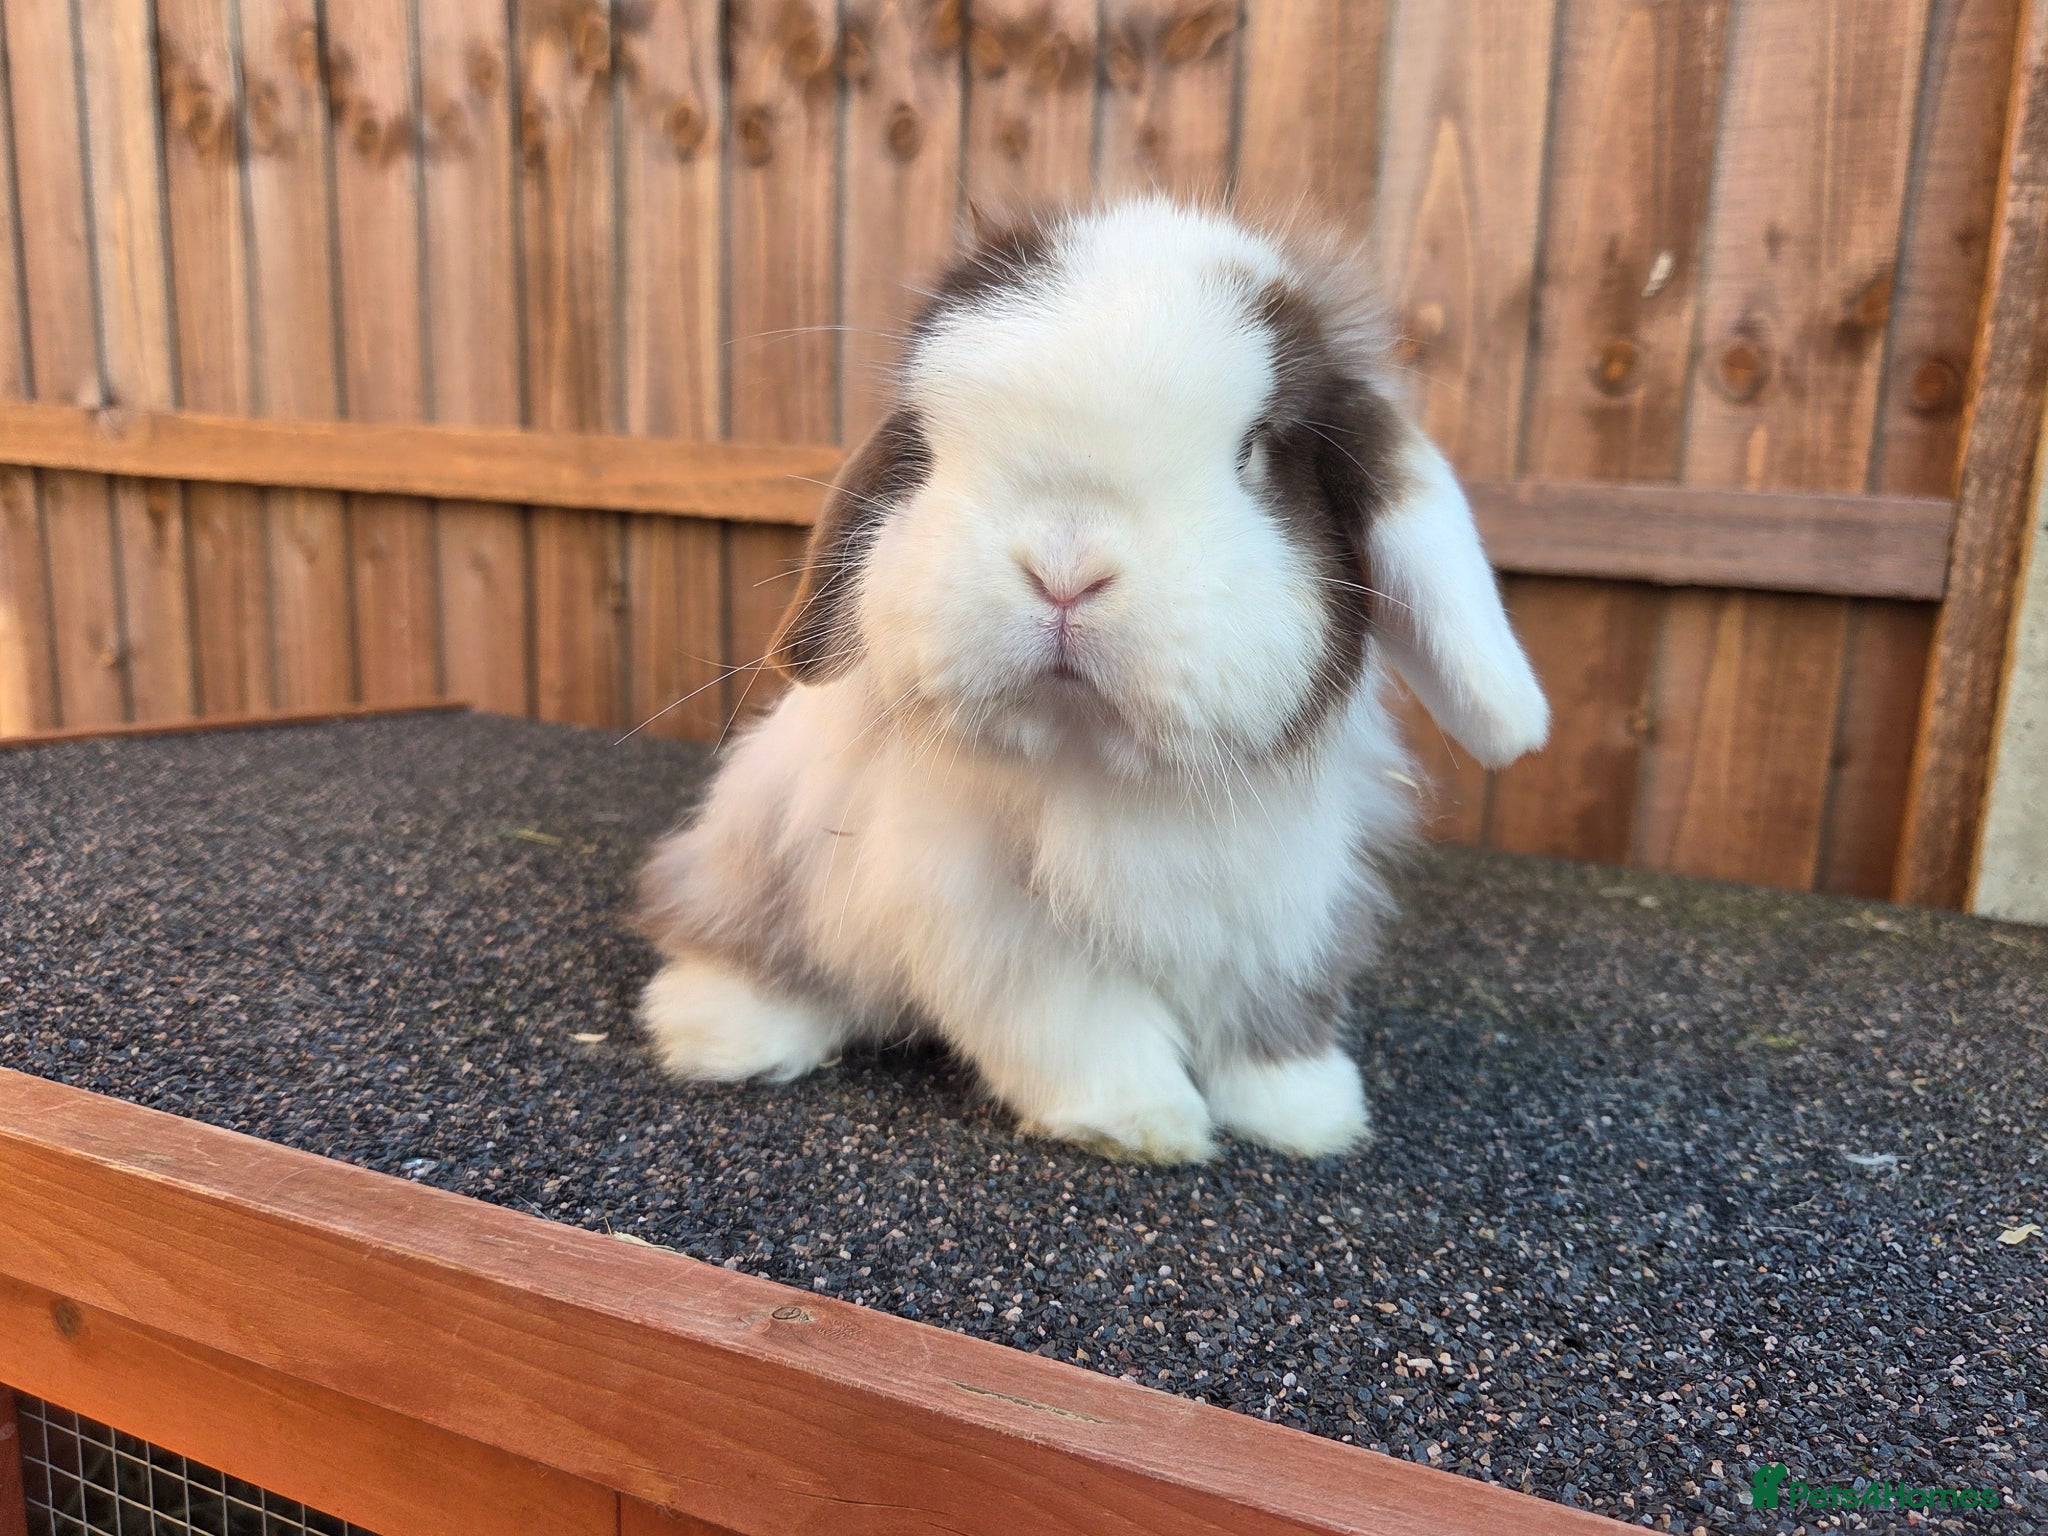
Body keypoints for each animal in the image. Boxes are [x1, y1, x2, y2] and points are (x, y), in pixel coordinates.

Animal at [636, 197, 1548, 1164]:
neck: (1105, 770)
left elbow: (1275, 1021)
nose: (1065, 570)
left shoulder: (1288, 904)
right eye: (930, 442)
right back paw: (720, 1033)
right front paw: (1142, 1123)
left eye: (1253, 451)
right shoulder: (1007, 936)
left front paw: (1310, 1117)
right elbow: (1083, 1027)